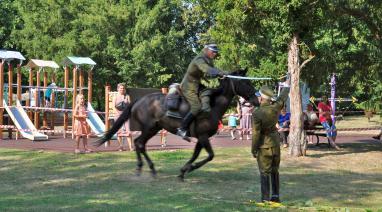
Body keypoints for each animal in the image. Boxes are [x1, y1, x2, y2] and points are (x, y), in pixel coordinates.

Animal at [95, 68, 260, 180]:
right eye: (245, 82)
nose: (256, 100)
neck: (213, 105)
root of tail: (139, 100)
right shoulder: (203, 136)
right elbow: (210, 155)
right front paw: (189, 168)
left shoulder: (201, 138)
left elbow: (197, 155)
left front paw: (184, 170)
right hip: (149, 128)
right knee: (139, 143)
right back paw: (148, 168)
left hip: (154, 129)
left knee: (139, 143)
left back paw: (145, 168)